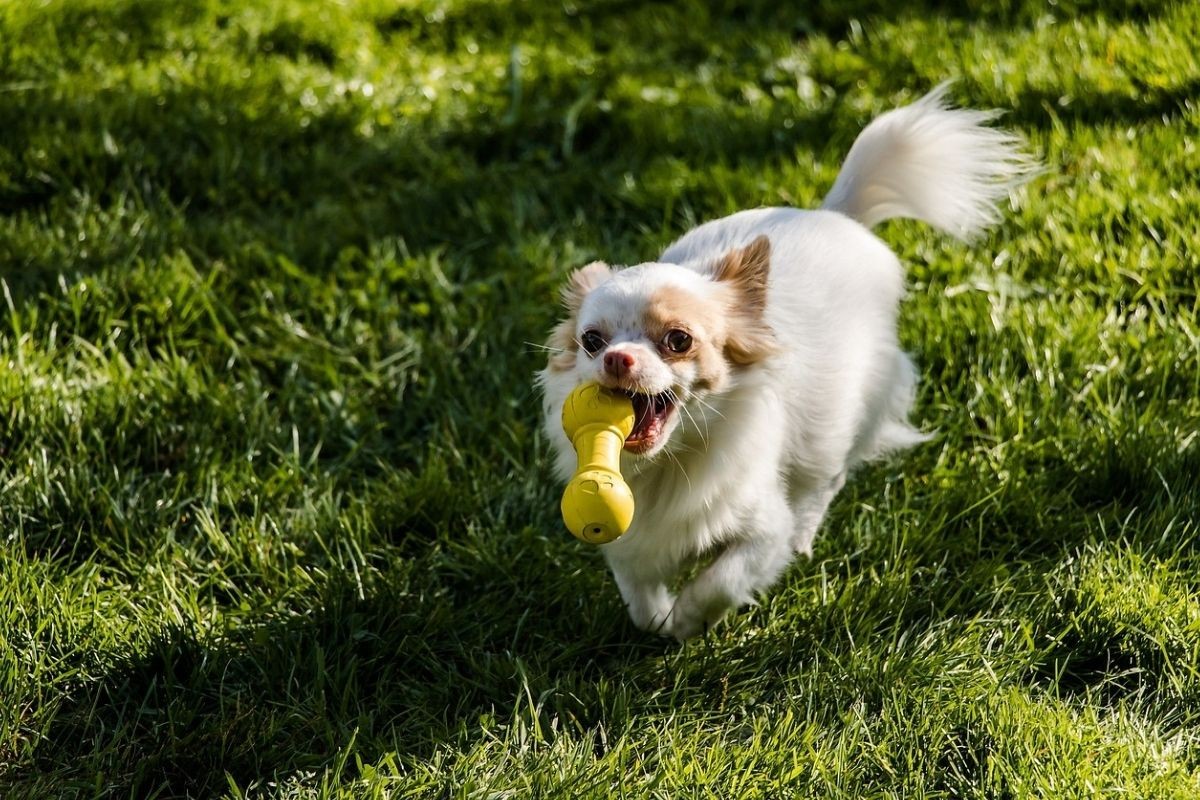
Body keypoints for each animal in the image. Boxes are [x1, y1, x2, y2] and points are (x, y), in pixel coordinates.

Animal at [540, 84, 1036, 642]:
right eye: (591, 341)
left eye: (678, 340)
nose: (618, 358)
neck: (670, 463)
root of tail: (836, 214)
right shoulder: (630, 539)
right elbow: (640, 600)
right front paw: (663, 619)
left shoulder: (761, 531)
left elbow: (722, 579)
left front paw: (690, 620)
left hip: (839, 425)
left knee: (824, 482)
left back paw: (804, 535)